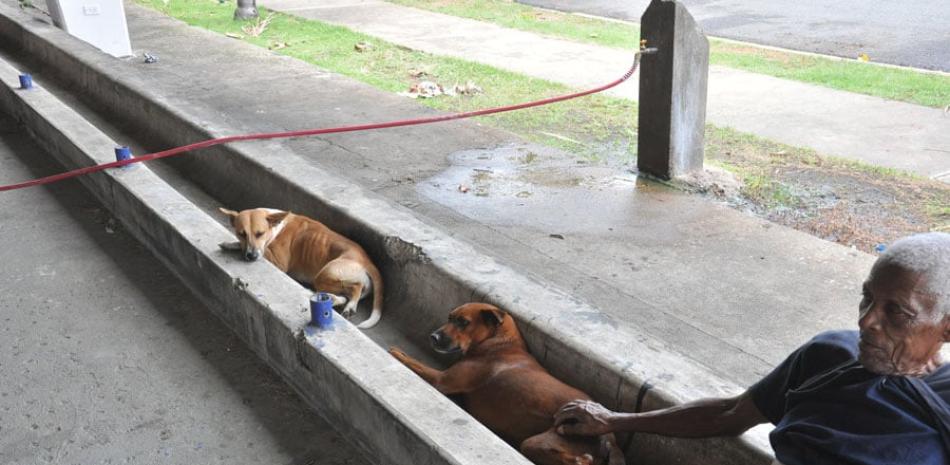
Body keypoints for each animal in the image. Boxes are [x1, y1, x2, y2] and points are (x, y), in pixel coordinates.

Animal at [221, 208, 384, 328]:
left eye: (260, 233)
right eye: (241, 233)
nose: (251, 256)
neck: (275, 227)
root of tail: (367, 261)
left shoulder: (277, 261)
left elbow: (261, 250)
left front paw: (231, 244)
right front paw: (233, 244)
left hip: (325, 274)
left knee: (356, 286)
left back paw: (350, 306)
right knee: (345, 295)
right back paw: (333, 299)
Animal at [390, 302, 628, 462]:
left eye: (463, 322)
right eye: (450, 317)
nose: (433, 337)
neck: (499, 342)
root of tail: (609, 438)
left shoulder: (442, 380)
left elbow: (413, 361)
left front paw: (396, 352)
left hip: (538, 441)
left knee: (579, 460)